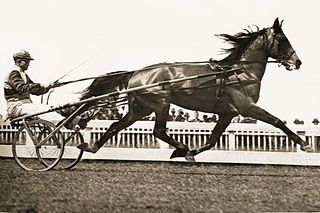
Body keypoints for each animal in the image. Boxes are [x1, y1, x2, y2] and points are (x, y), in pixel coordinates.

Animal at [72, 18, 312, 160]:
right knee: (158, 130)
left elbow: (213, 139)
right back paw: (182, 148)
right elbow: (277, 121)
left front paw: (193, 151)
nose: (298, 62)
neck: (240, 72)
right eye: (282, 39)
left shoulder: (227, 113)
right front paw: (305, 145)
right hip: (161, 102)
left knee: (116, 126)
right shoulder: (246, 107)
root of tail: (136, 72)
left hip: (141, 107)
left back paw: (91, 148)